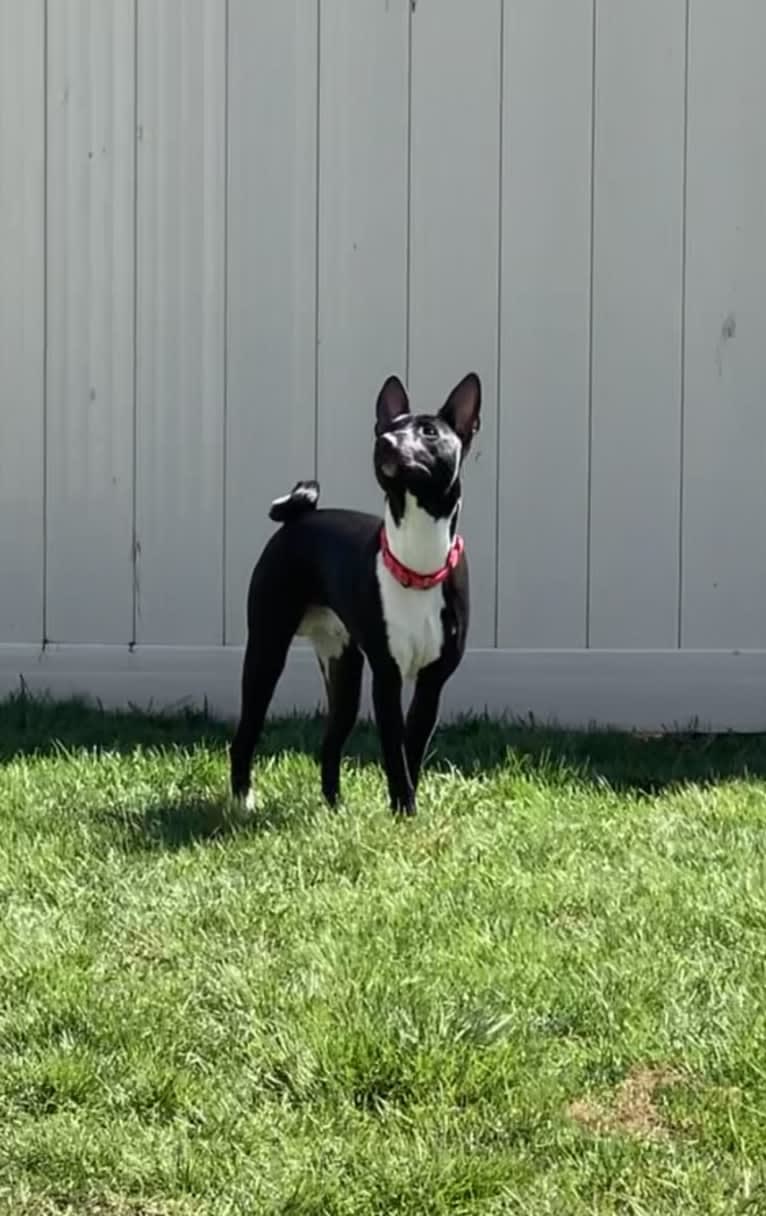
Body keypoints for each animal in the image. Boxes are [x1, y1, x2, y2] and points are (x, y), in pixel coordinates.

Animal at [229, 367, 481, 807]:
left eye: (429, 432)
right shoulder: (387, 678)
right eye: (387, 428)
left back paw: (333, 808)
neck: (418, 562)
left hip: (344, 668)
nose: (386, 442)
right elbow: (395, 755)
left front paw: (406, 810)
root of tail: (299, 518)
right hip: (266, 650)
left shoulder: (431, 683)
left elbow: (411, 752)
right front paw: (403, 810)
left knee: (330, 742)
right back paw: (244, 800)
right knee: (246, 733)